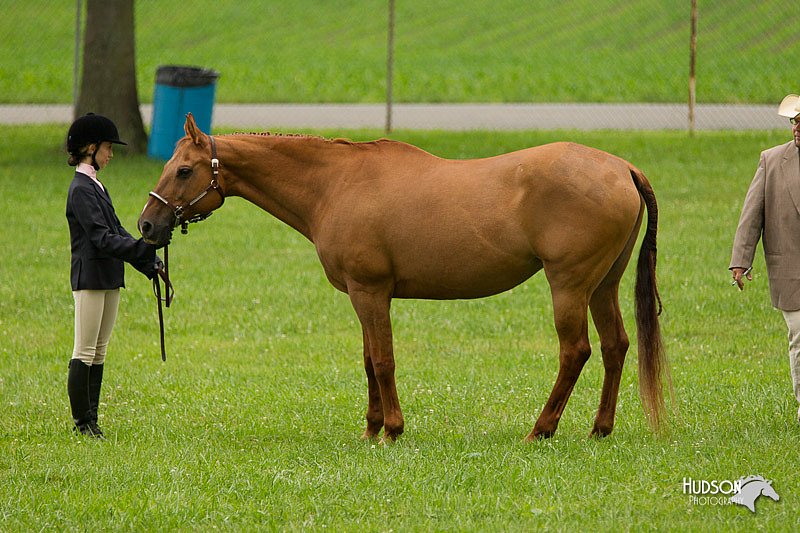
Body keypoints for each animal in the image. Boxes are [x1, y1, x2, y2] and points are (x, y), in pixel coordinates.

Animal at [139, 114, 668, 442]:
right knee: (616, 345)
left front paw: (391, 429)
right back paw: (599, 428)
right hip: (602, 286)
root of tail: (622, 167)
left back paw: (542, 428)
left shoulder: (370, 292)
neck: (336, 184)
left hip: (569, 286)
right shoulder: (363, 297)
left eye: (183, 170)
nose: (146, 225)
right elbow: (368, 360)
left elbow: (383, 360)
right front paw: (372, 427)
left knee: (575, 351)